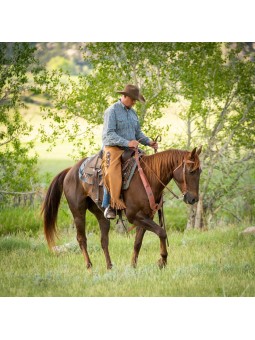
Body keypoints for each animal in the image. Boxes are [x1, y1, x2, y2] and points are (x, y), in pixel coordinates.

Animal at [41, 146, 201, 270]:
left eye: (199, 171)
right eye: (191, 171)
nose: (193, 199)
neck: (148, 179)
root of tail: (70, 170)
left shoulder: (146, 217)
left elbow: (138, 242)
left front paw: (133, 266)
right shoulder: (135, 216)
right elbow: (162, 232)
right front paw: (162, 260)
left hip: (101, 215)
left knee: (104, 240)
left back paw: (110, 266)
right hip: (78, 212)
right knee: (81, 239)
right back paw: (89, 267)